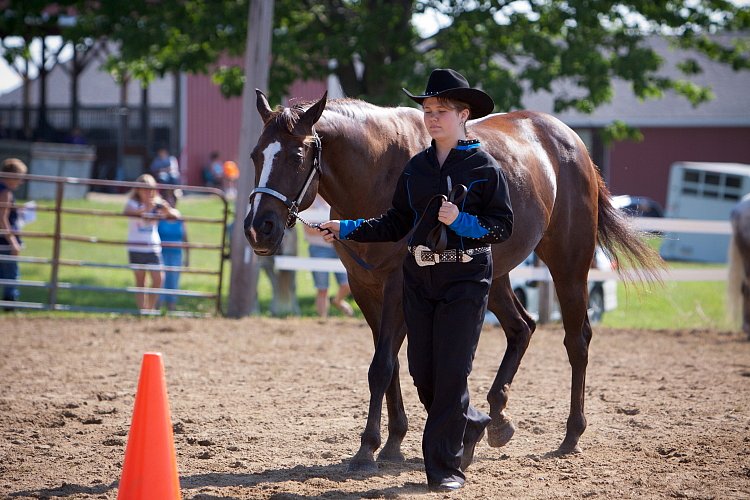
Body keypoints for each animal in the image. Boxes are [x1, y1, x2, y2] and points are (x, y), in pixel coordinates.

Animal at [244, 91, 660, 472]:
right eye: (256, 155)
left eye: (297, 156)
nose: (258, 227)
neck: (379, 172)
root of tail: (572, 142)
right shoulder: (364, 287)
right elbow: (390, 365)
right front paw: (393, 442)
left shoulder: (397, 287)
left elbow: (381, 366)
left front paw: (367, 449)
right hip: (496, 277)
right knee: (521, 327)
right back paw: (498, 420)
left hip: (569, 265)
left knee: (577, 340)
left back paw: (571, 435)